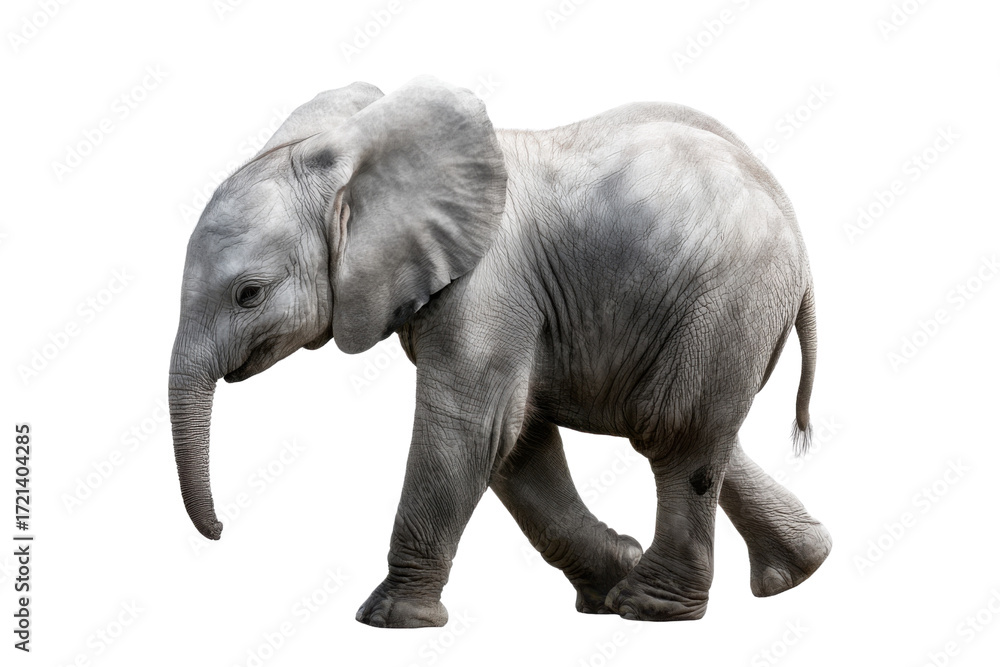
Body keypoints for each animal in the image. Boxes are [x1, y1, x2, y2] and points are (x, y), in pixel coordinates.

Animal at [168, 76, 832, 627]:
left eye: (249, 295)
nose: (223, 530)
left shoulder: (488, 281)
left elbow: (473, 426)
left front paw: (390, 619)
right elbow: (519, 437)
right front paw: (610, 573)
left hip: (729, 297)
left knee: (673, 433)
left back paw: (650, 607)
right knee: (703, 433)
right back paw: (793, 572)